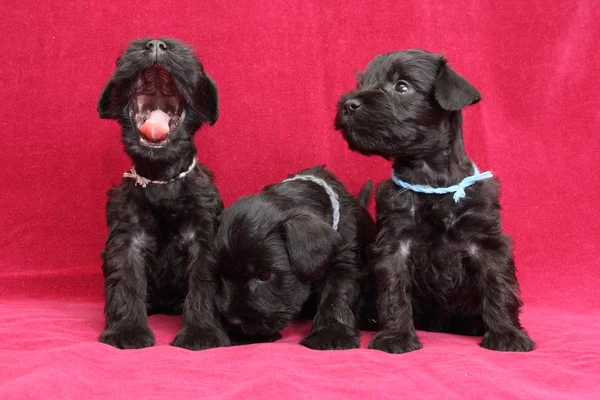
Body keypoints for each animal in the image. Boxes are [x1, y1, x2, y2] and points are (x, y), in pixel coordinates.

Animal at [97, 38, 229, 350]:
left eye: (195, 61)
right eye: (121, 58)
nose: (156, 42)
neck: (162, 179)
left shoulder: (203, 238)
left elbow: (203, 283)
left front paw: (200, 332)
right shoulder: (127, 239)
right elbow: (126, 282)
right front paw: (127, 331)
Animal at [214, 166, 376, 350]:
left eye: (265, 275)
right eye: (221, 274)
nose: (233, 321)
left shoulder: (344, 264)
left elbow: (337, 295)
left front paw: (330, 333)